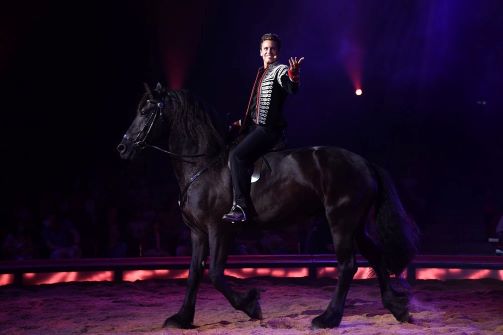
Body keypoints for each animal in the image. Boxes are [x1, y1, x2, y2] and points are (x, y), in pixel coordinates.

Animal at [117, 85, 418, 330]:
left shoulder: (220, 229)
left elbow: (215, 273)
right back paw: (397, 308)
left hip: (341, 221)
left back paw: (328, 319)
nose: (122, 148)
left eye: (145, 111)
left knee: (347, 265)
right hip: (355, 223)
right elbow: (193, 274)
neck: (204, 165)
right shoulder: (198, 232)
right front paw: (181, 318)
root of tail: (364, 162)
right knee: (376, 257)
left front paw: (251, 304)